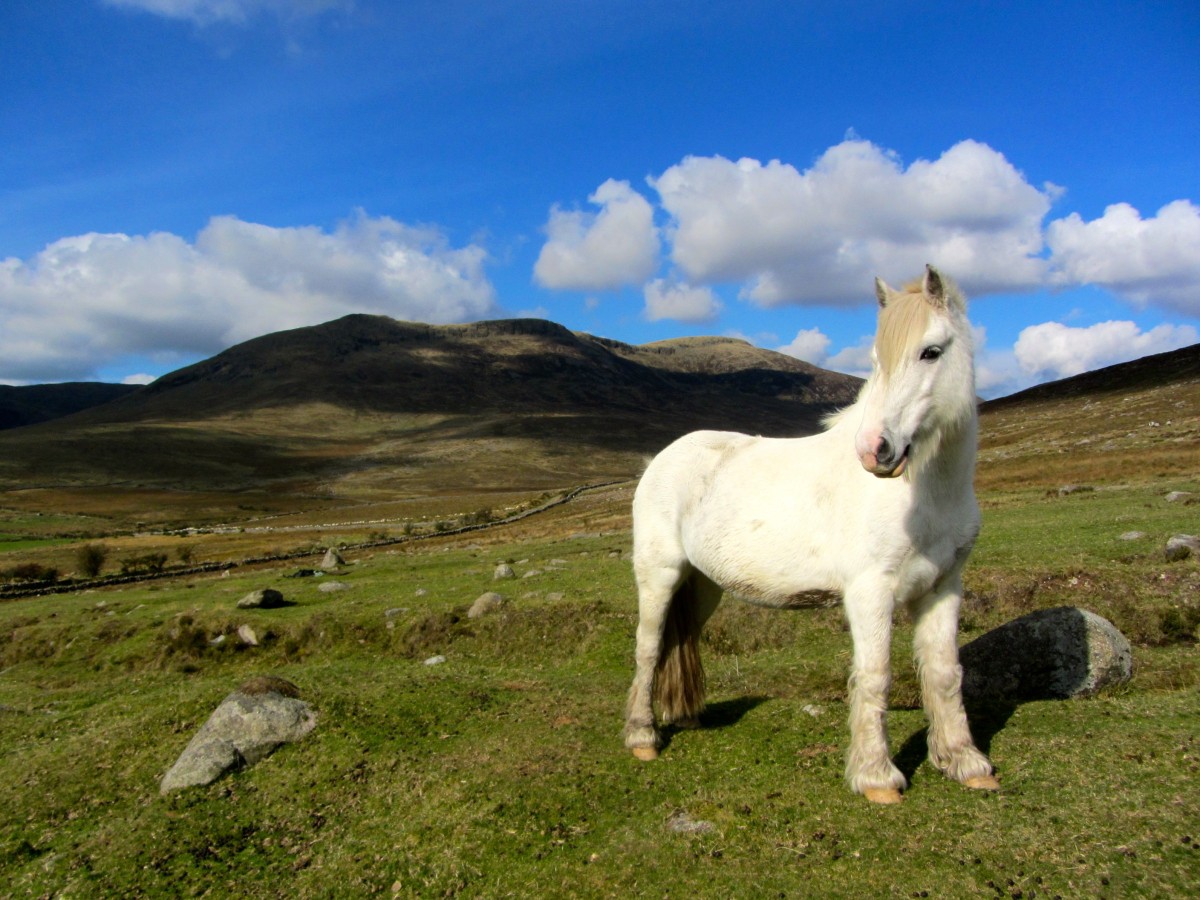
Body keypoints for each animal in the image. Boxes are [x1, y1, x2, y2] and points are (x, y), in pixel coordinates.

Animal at [624, 266, 998, 801]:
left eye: (931, 351)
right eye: (876, 360)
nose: (874, 450)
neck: (926, 493)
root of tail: (660, 459)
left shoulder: (944, 586)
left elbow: (945, 672)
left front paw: (965, 762)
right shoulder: (870, 591)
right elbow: (875, 675)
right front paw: (876, 776)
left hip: (701, 586)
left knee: (679, 642)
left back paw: (684, 717)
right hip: (660, 575)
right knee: (649, 648)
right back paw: (643, 737)